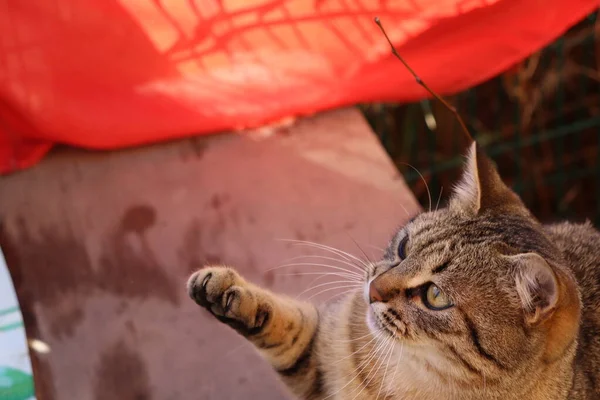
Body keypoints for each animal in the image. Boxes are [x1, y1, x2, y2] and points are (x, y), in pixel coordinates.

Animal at [188, 142, 600, 398]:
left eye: (435, 296)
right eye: (403, 248)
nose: (372, 291)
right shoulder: (324, 351)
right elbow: (286, 326)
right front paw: (226, 292)